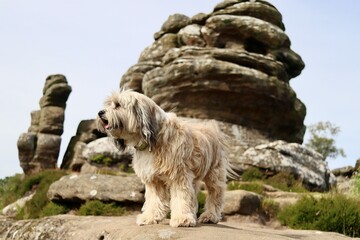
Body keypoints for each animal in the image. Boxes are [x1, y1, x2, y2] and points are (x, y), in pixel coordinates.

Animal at [97, 90, 233, 227]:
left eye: (118, 105)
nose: (100, 112)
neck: (152, 140)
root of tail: (213, 128)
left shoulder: (179, 175)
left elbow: (181, 197)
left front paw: (182, 219)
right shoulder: (154, 179)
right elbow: (155, 200)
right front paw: (150, 217)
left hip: (214, 174)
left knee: (215, 194)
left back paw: (210, 216)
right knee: (193, 197)